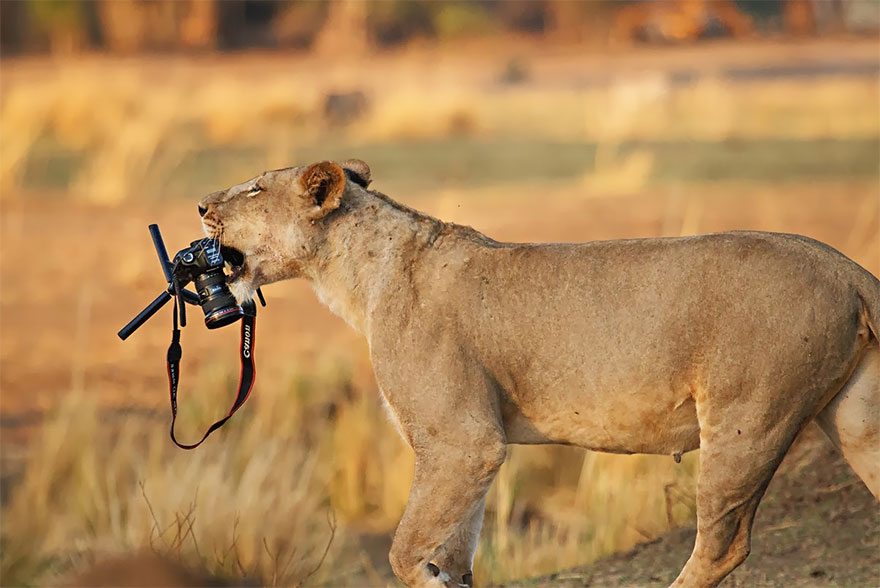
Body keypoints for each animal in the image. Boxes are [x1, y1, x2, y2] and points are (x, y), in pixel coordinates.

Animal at [198, 160, 879, 588]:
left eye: (255, 189)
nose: (200, 203)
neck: (358, 276)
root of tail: (849, 268)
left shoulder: (462, 440)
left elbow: (407, 550)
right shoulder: (468, 452)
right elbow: (453, 551)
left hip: (746, 422)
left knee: (722, 545)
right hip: (855, 419)